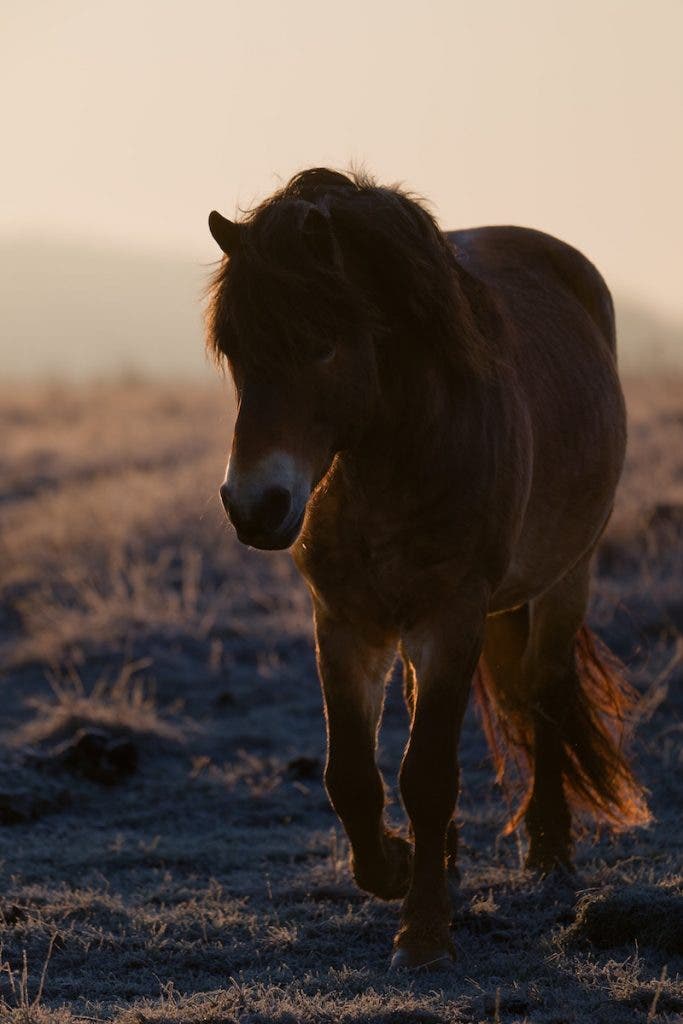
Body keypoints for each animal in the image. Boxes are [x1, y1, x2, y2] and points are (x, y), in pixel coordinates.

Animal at [205, 167, 650, 970]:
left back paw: (548, 849)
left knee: (544, 694)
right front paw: (396, 865)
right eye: (234, 351)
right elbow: (351, 775)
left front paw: (423, 932)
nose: (254, 506)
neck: (391, 458)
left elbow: (429, 773)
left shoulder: (452, 617)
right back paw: (443, 858)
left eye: (320, 344)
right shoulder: (345, 622)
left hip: (565, 578)